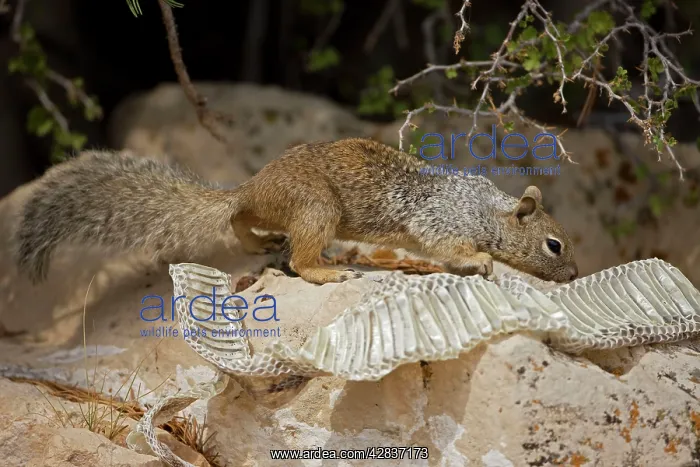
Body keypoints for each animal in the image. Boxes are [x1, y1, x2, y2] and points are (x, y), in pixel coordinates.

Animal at [13, 137, 578, 285]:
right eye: (554, 244)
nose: (574, 276)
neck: (490, 209)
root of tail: (248, 186)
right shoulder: (443, 220)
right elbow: (450, 247)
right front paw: (479, 262)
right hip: (315, 208)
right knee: (299, 262)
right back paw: (326, 272)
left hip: (278, 210)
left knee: (240, 221)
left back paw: (258, 240)